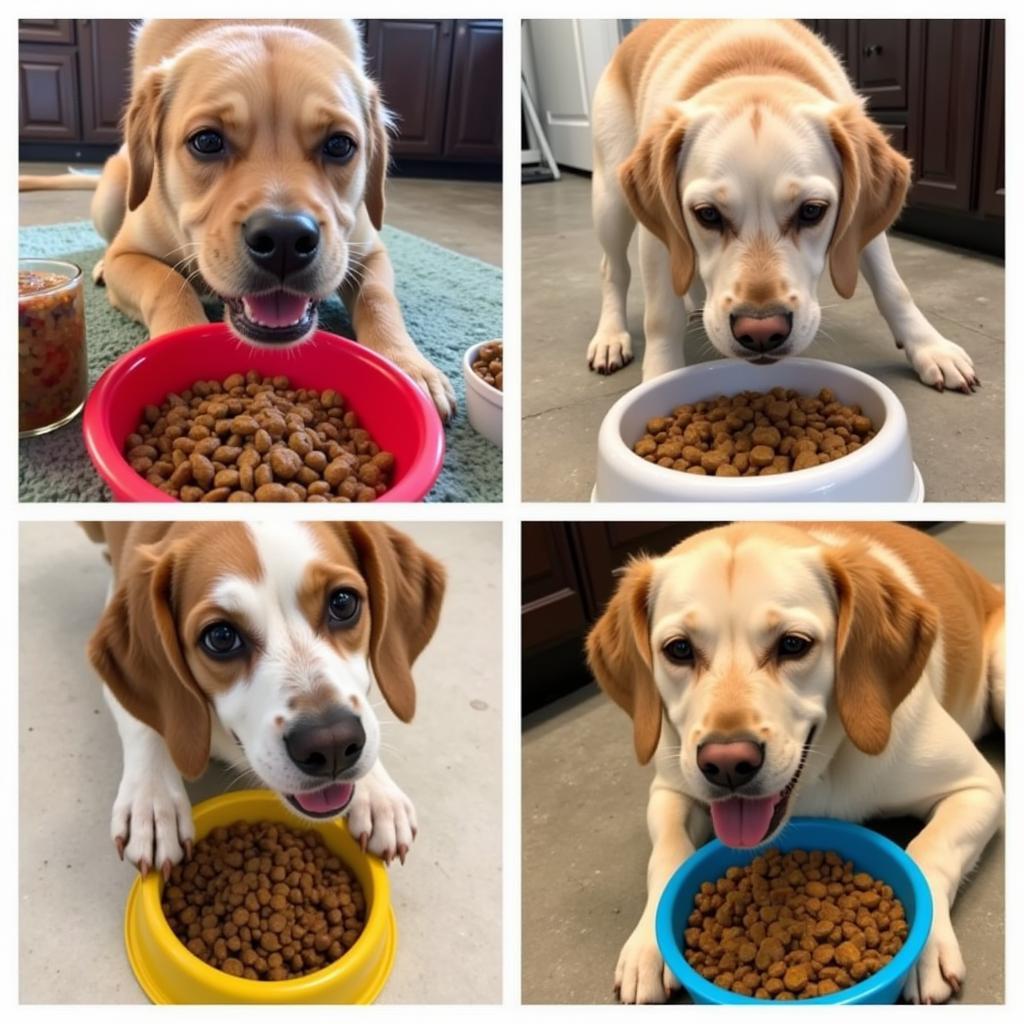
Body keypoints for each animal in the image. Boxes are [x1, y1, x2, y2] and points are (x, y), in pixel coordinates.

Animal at [22, 17, 454, 415]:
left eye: (339, 145)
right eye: (207, 141)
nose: (284, 240)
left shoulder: (368, 250)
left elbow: (379, 298)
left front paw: (409, 366)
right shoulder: (128, 255)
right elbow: (167, 284)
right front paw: (182, 337)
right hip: (113, 194)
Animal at [82, 524, 444, 876]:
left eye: (343, 603)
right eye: (221, 637)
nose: (332, 745)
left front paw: (376, 791)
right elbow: (146, 725)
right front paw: (153, 802)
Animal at [585, 20, 974, 395]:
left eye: (812, 211)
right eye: (707, 214)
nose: (760, 331)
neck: (754, 63)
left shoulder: (862, 228)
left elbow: (894, 288)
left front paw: (930, 348)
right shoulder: (658, 239)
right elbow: (660, 316)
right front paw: (660, 378)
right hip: (611, 201)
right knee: (612, 269)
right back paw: (610, 337)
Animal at [589, 524, 1003, 1003]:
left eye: (793, 644)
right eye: (678, 650)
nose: (727, 763)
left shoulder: (978, 787)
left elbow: (928, 849)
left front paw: (927, 945)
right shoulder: (670, 789)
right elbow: (669, 855)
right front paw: (646, 945)